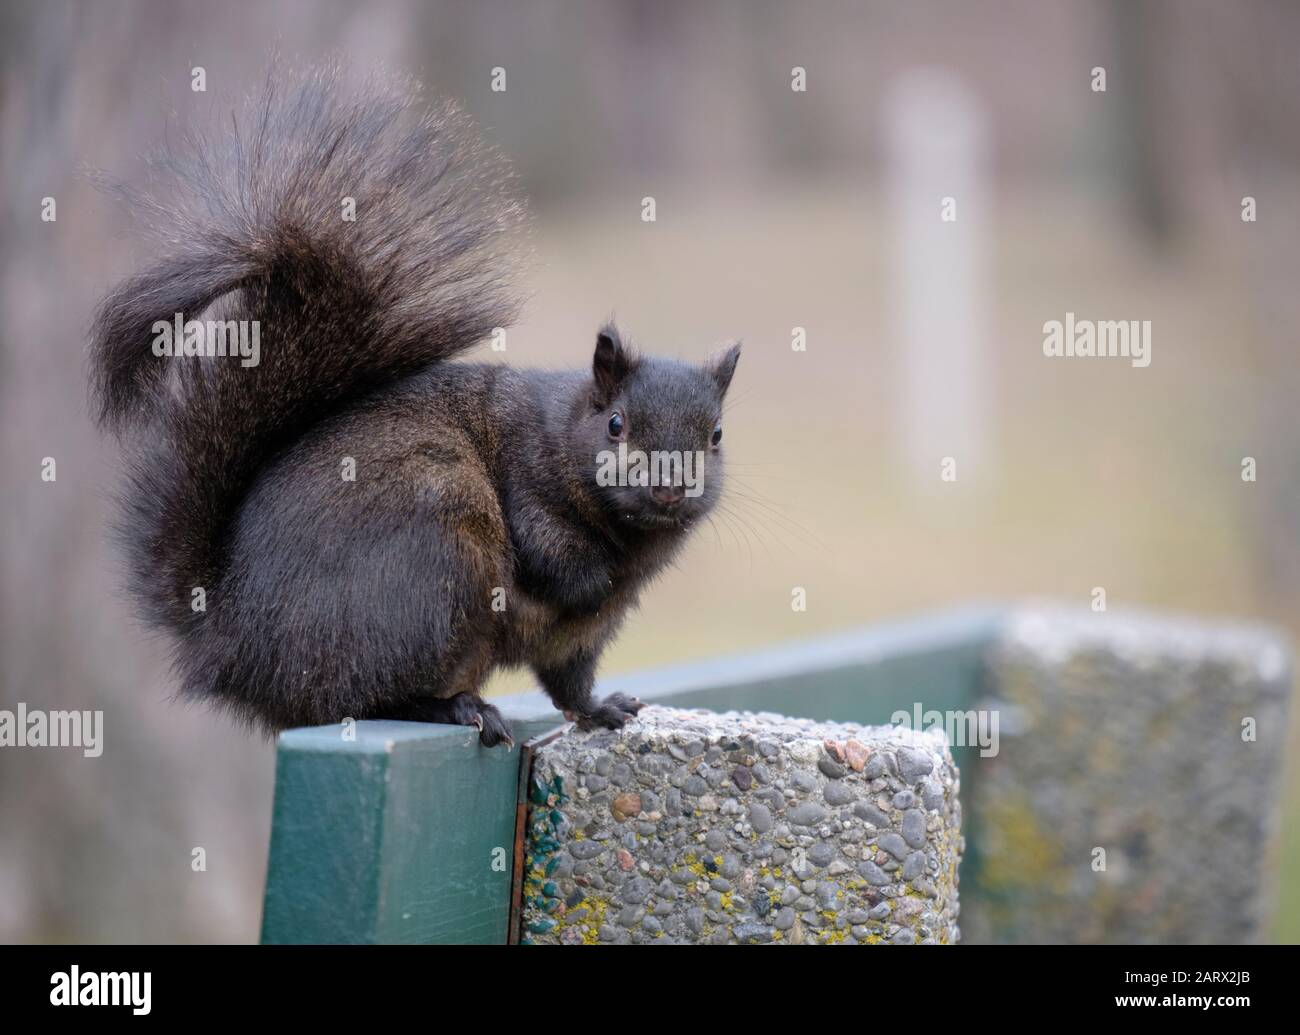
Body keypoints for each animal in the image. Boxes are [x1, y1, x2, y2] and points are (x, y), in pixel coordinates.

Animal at [89, 64, 743, 743]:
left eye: (717, 436)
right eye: (616, 423)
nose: (670, 487)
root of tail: (234, 646)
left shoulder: (580, 639)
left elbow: (569, 682)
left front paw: (603, 709)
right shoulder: (526, 474)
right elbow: (545, 552)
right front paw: (593, 579)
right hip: (437, 559)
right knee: (366, 697)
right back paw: (451, 707)